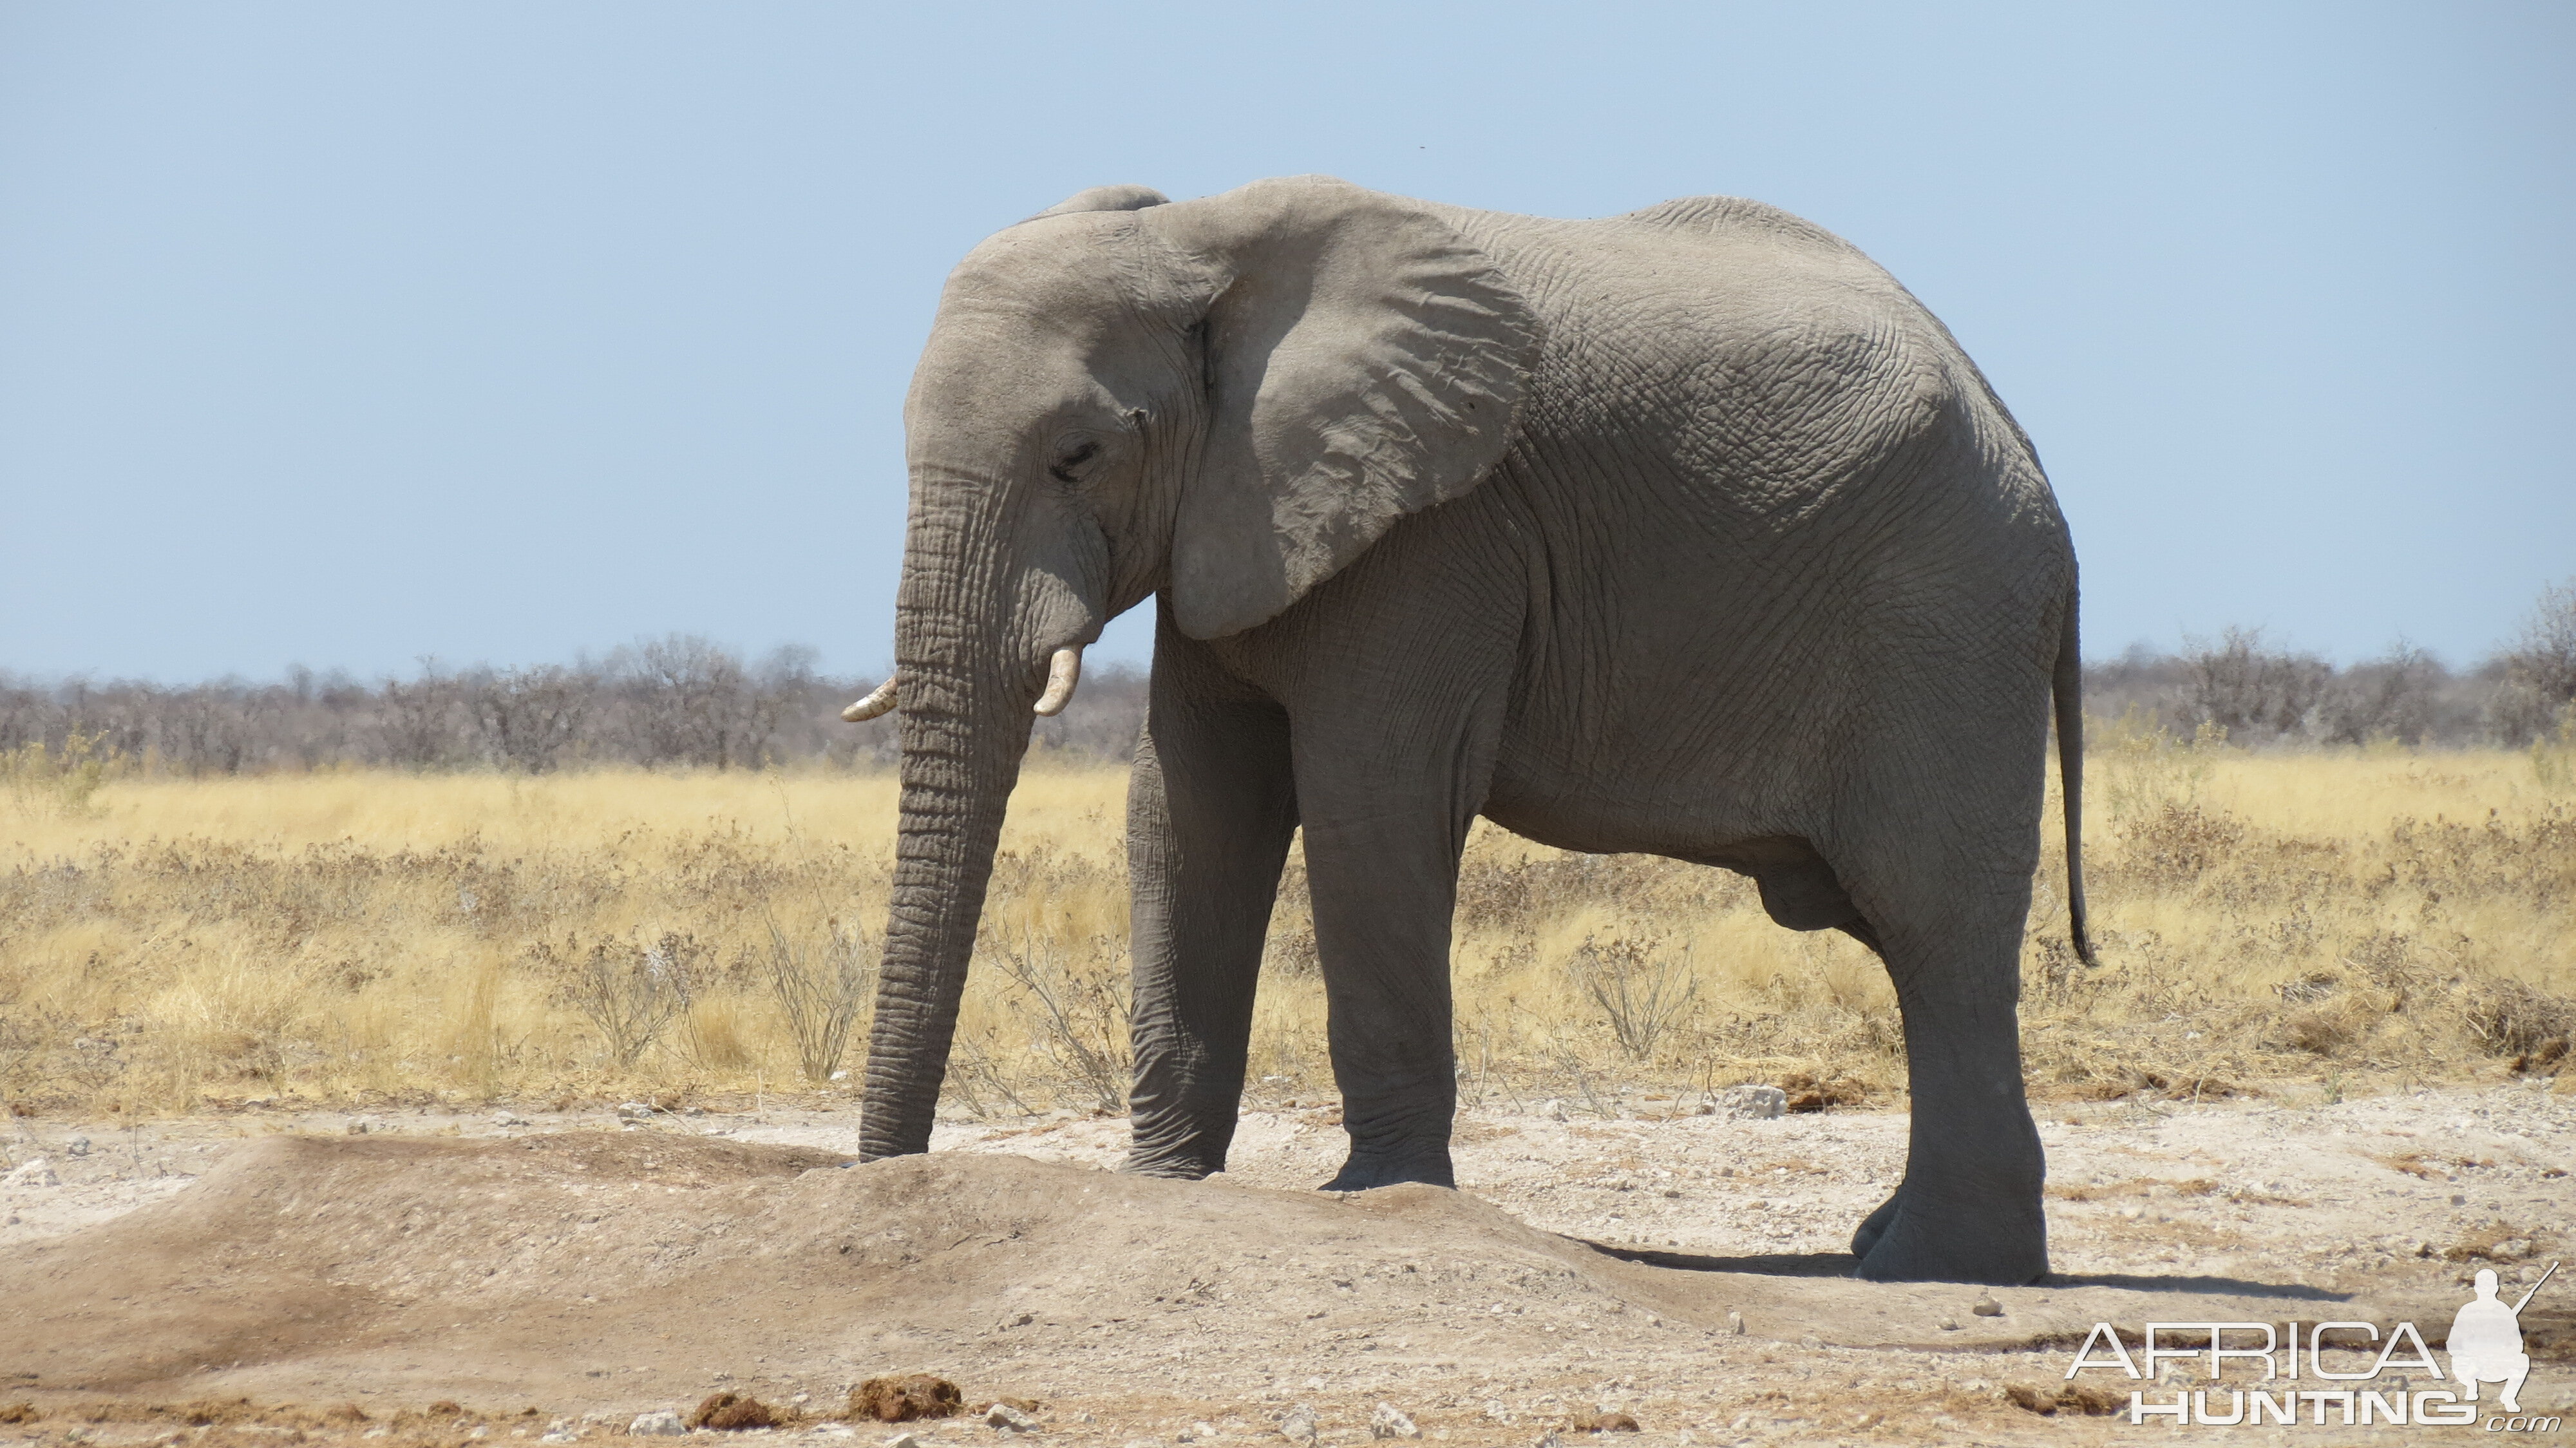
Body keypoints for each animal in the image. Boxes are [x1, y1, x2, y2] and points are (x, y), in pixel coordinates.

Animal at [845, 175, 2092, 1278]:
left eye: (1081, 454)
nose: (894, 1178)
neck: (1202, 237)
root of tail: (2032, 462)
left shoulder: (1435, 532)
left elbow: (1368, 802)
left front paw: (1377, 1196)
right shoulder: (1238, 515)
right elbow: (1188, 809)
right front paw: (1162, 1185)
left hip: (1942, 628)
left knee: (1933, 928)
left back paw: (1936, 1265)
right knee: (1901, 937)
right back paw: (1894, 1248)